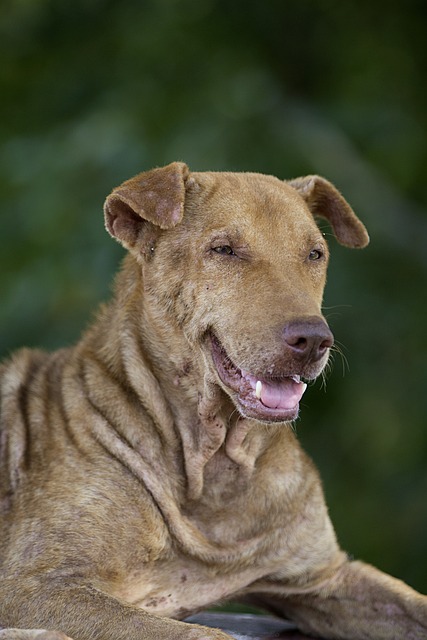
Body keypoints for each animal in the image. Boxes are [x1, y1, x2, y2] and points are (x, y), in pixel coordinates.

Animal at [0, 161, 427, 640]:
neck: (213, 466)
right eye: (224, 249)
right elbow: (202, 633)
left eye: (315, 254)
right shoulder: (37, 586)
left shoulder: (322, 574)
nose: (314, 340)